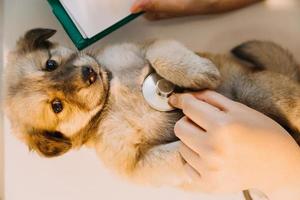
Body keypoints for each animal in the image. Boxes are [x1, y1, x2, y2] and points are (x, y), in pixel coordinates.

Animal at [2, 28, 300, 189]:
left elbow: (163, 55)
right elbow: (177, 151)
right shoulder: (136, 163)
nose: (89, 73)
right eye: (56, 106)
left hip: (260, 92)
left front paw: (197, 72)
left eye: (50, 64)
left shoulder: (147, 46)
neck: (110, 98)